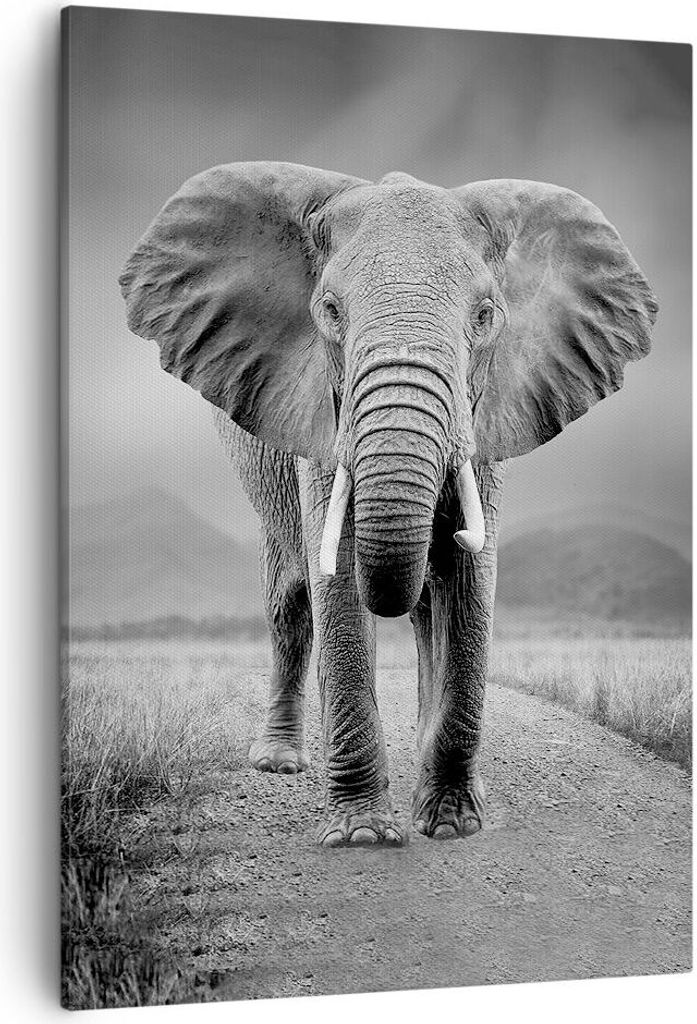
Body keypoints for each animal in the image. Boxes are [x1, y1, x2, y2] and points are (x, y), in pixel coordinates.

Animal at [120, 162, 657, 848]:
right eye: (329, 312)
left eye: (485, 316)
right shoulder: (322, 415)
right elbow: (341, 577)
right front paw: (363, 838)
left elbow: (470, 580)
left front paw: (452, 823)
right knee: (291, 599)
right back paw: (280, 762)